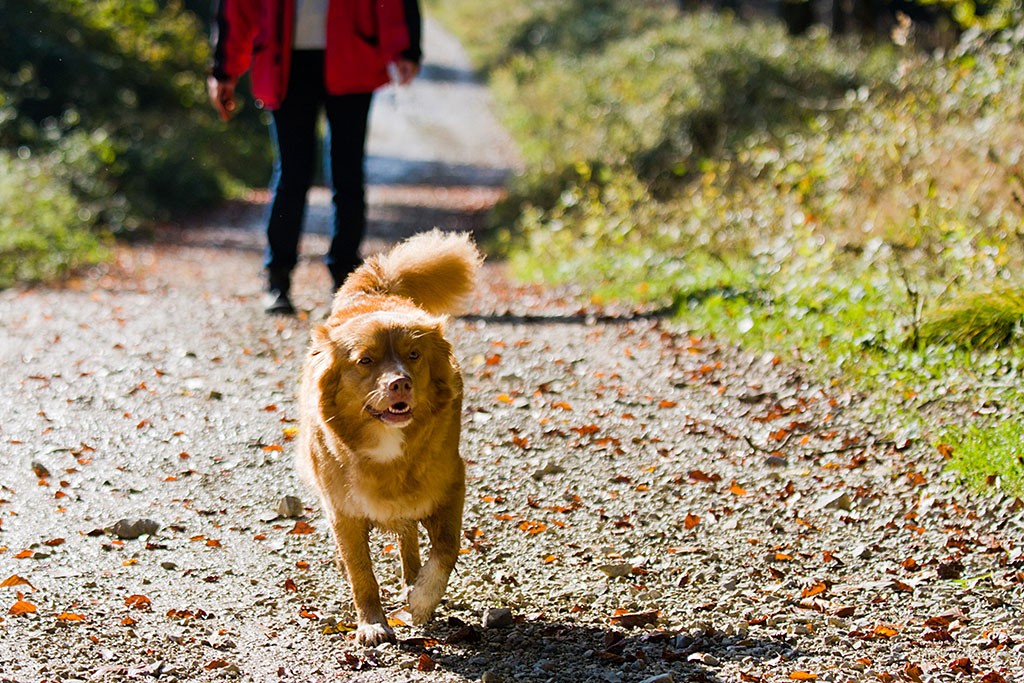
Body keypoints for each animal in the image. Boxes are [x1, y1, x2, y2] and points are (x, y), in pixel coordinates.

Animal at [296, 229, 479, 647]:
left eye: (414, 355)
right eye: (365, 360)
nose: (400, 383)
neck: (387, 448)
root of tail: (378, 289)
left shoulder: (450, 486)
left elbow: (446, 549)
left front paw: (423, 601)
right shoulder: (344, 511)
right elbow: (361, 572)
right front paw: (372, 623)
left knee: (410, 537)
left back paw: (412, 581)